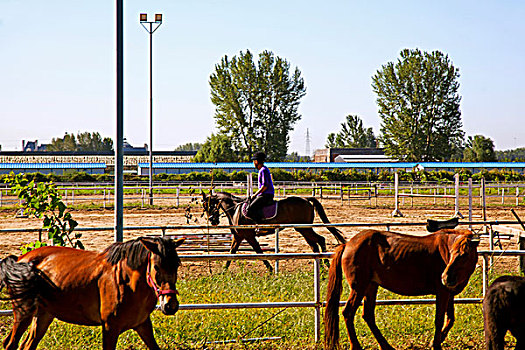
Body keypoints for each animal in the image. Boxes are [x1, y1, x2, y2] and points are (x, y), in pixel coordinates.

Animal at [0, 237, 184, 348]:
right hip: (23, 313)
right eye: (156, 267)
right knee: (10, 343)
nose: (170, 305)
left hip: (43, 315)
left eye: (177, 264)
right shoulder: (110, 327)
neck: (126, 282)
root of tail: (19, 259)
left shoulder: (143, 324)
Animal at [200, 191, 344, 270]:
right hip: (303, 229)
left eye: (209, 205)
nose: (213, 220)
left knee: (321, 240)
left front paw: (270, 271)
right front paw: (223, 273)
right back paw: (322, 269)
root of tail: (306, 199)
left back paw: (326, 265)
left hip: (304, 228)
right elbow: (231, 253)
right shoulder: (238, 237)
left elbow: (259, 252)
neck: (235, 210)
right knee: (314, 245)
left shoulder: (249, 236)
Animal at [322, 228, 476, 348]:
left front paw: (437, 340)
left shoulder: (449, 293)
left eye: (465, 255)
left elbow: (450, 319)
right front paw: (436, 344)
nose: (445, 277)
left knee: (368, 315)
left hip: (371, 287)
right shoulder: (442, 292)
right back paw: (356, 346)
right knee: (348, 313)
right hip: (359, 288)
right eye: (452, 252)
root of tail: (347, 244)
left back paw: (386, 346)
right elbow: (439, 320)